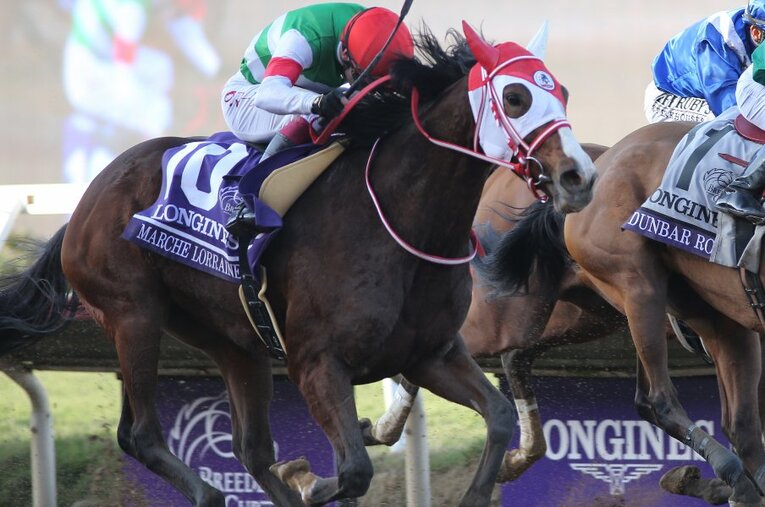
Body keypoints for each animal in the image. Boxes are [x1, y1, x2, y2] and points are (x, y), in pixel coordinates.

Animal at [0, 25, 596, 507]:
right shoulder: (317, 364)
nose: (580, 177)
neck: (401, 221)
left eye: (563, 92)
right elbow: (353, 470)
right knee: (141, 434)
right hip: (133, 315)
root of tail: (88, 198)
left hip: (232, 341)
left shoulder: (430, 353)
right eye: (516, 96)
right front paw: (308, 477)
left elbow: (499, 417)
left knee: (251, 449)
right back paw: (211, 492)